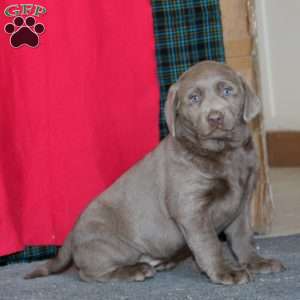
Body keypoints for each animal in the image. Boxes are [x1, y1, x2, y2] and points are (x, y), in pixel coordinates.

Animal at [24, 60, 284, 284]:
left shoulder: (241, 203)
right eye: (194, 98)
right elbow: (209, 243)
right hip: (110, 246)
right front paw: (225, 272)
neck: (224, 153)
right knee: (90, 272)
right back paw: (135, 270)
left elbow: (243, 238)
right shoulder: (191, 209)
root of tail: (72, 232)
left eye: (228, 91)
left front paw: (256, 262)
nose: (215, 117)